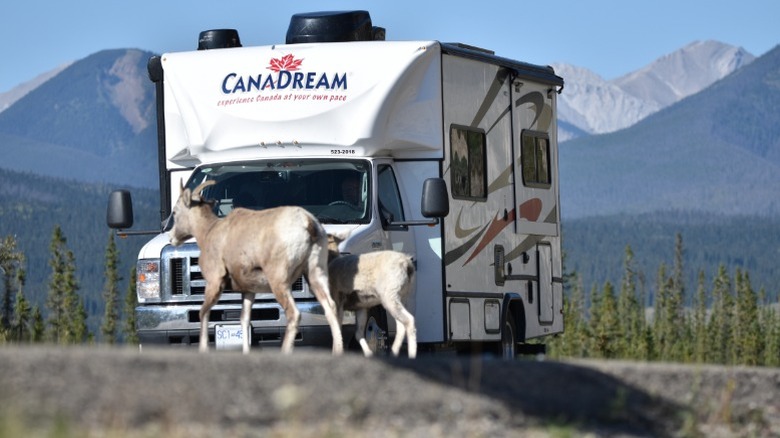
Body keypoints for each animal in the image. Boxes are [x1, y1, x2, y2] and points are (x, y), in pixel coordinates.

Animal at [169, 181, 342, 356]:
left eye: (175, 212)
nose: (172, 238)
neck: (208, 232)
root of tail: (308, 222)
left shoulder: (214, 283)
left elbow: (203, 312)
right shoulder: (248, 291)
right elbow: (244, 320)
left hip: (279, 282)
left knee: (294, 314)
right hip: (315, 275)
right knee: (331, 309)